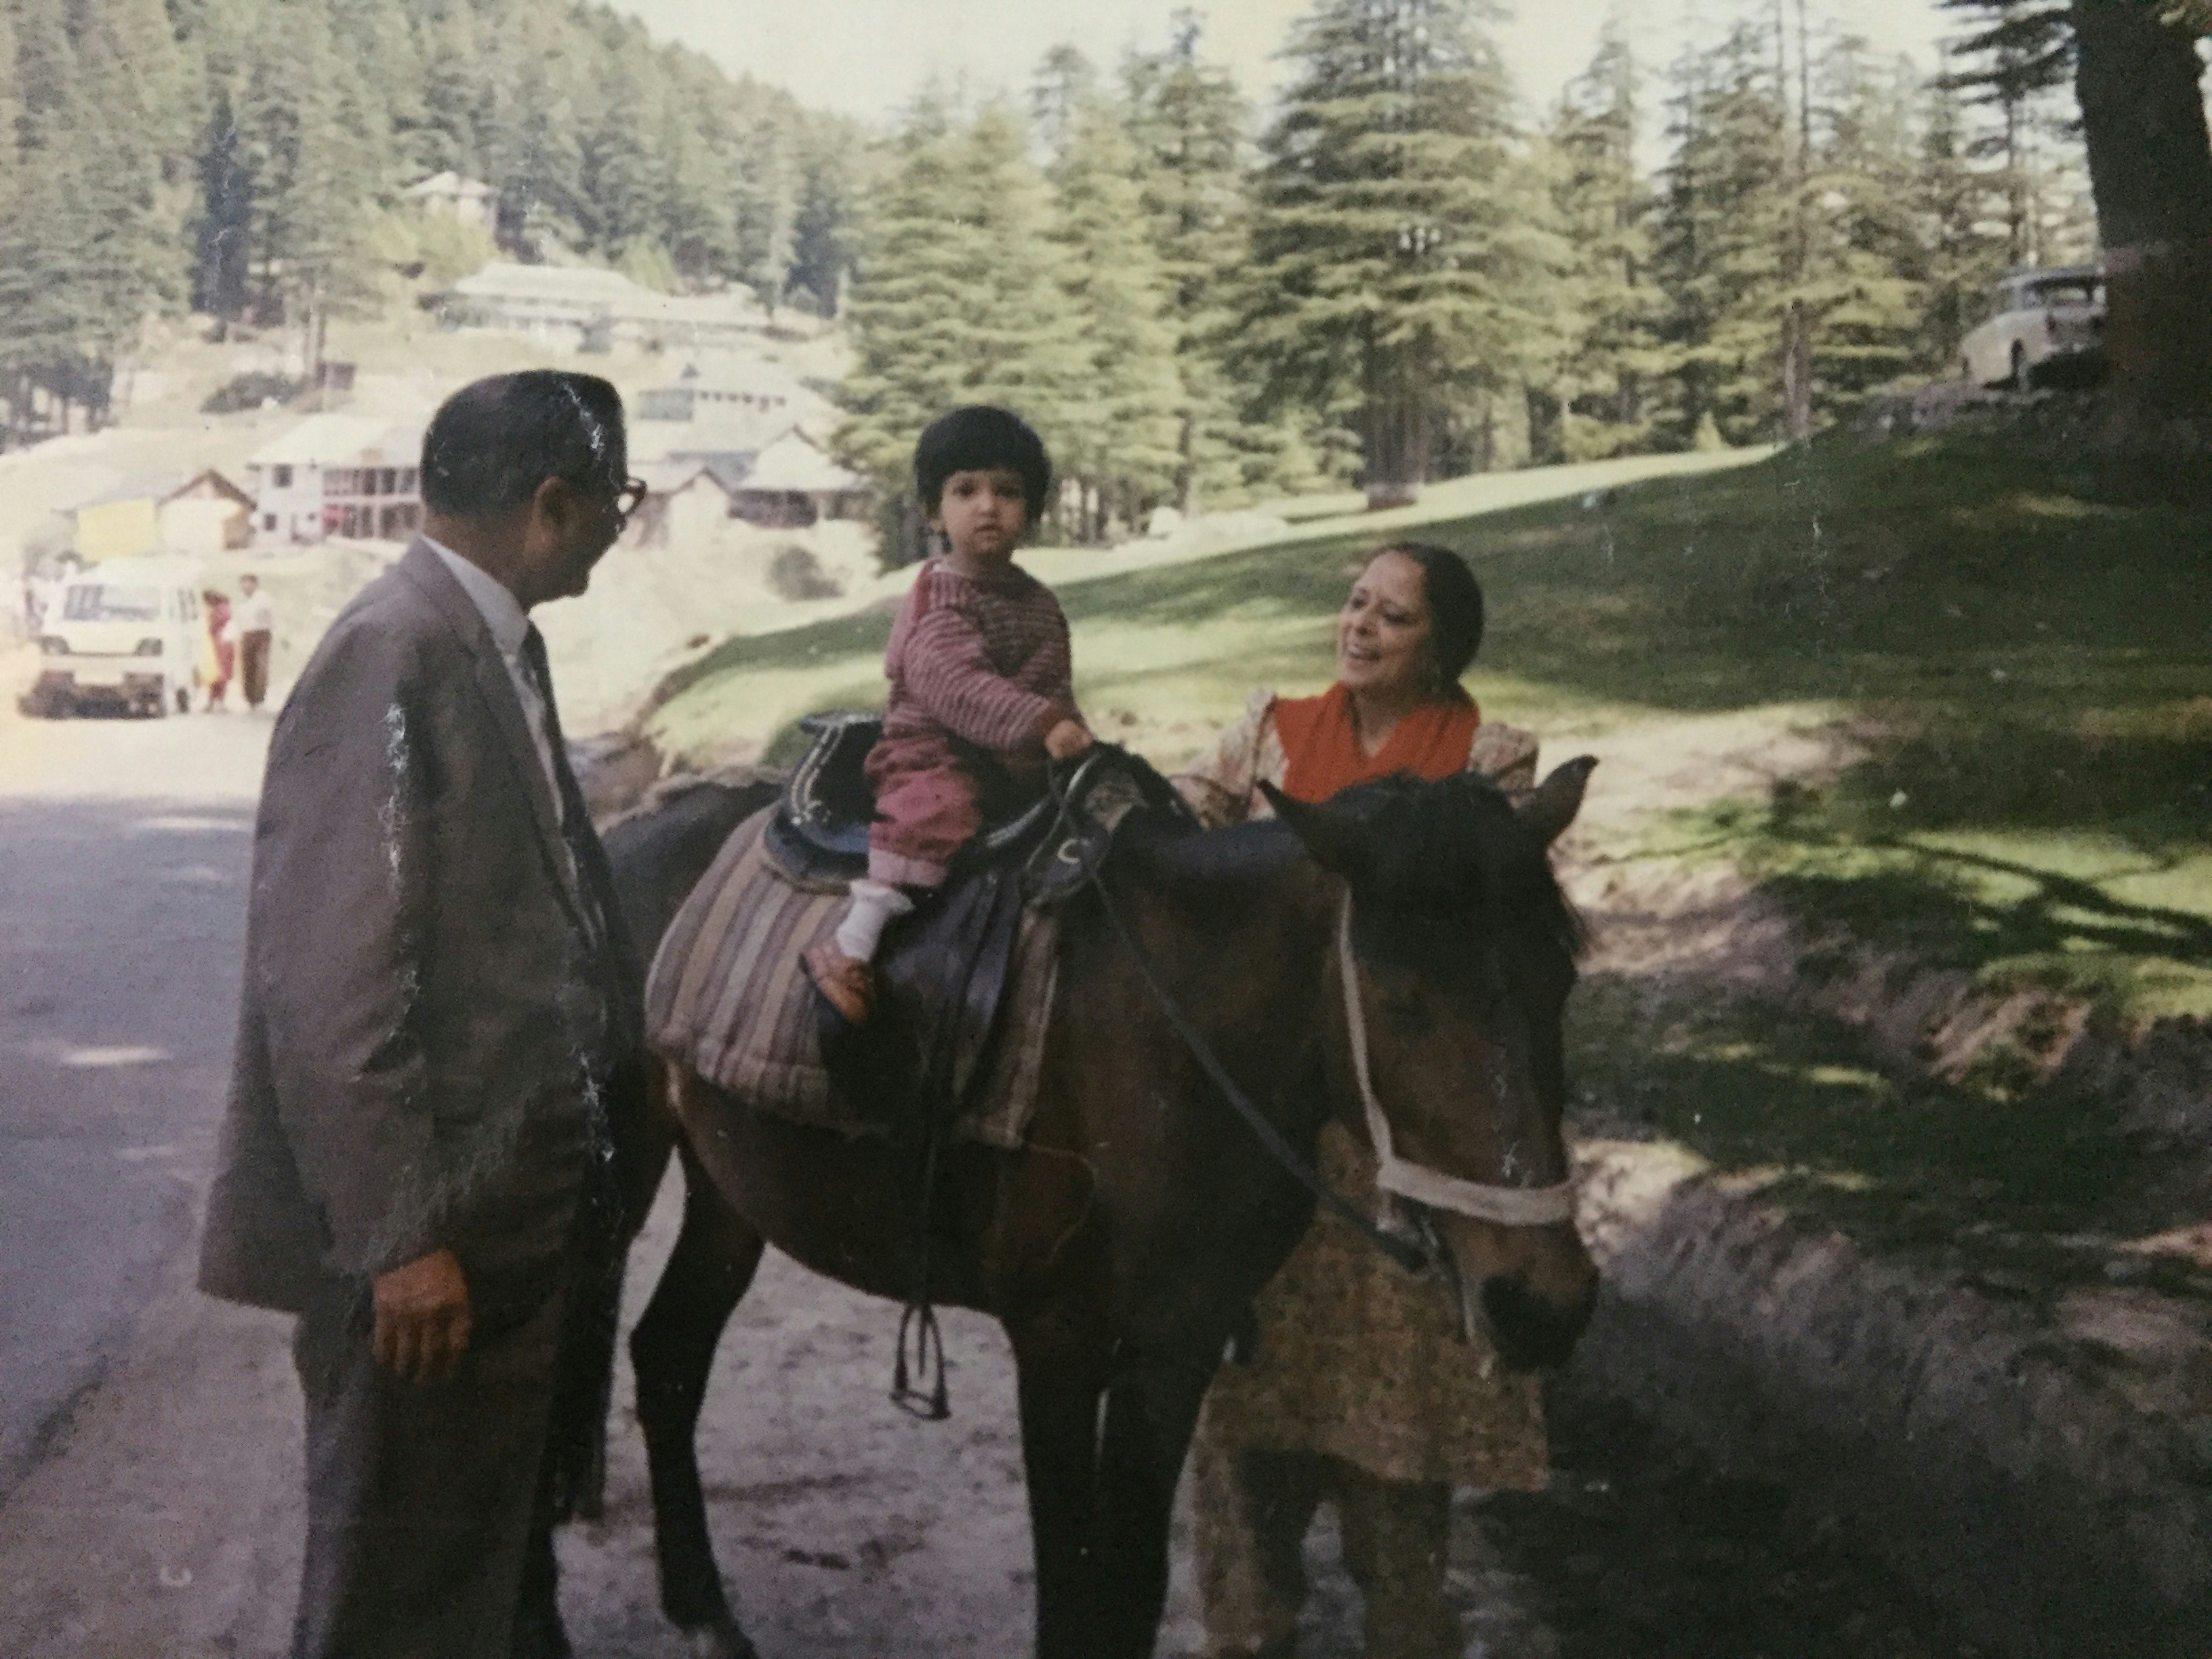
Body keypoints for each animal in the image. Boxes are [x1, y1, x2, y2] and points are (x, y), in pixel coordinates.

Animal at [601, 765, 1610, 1659]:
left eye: (1560, 983)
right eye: (1402, 1004)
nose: (1543, 1303)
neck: (1166, 1045)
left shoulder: (1175, 1347)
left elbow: (1128, 1590)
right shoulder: (1057, 1344)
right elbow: (1069, 1594)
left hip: (730, 1194)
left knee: (668, 1356)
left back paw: (701, 1607)